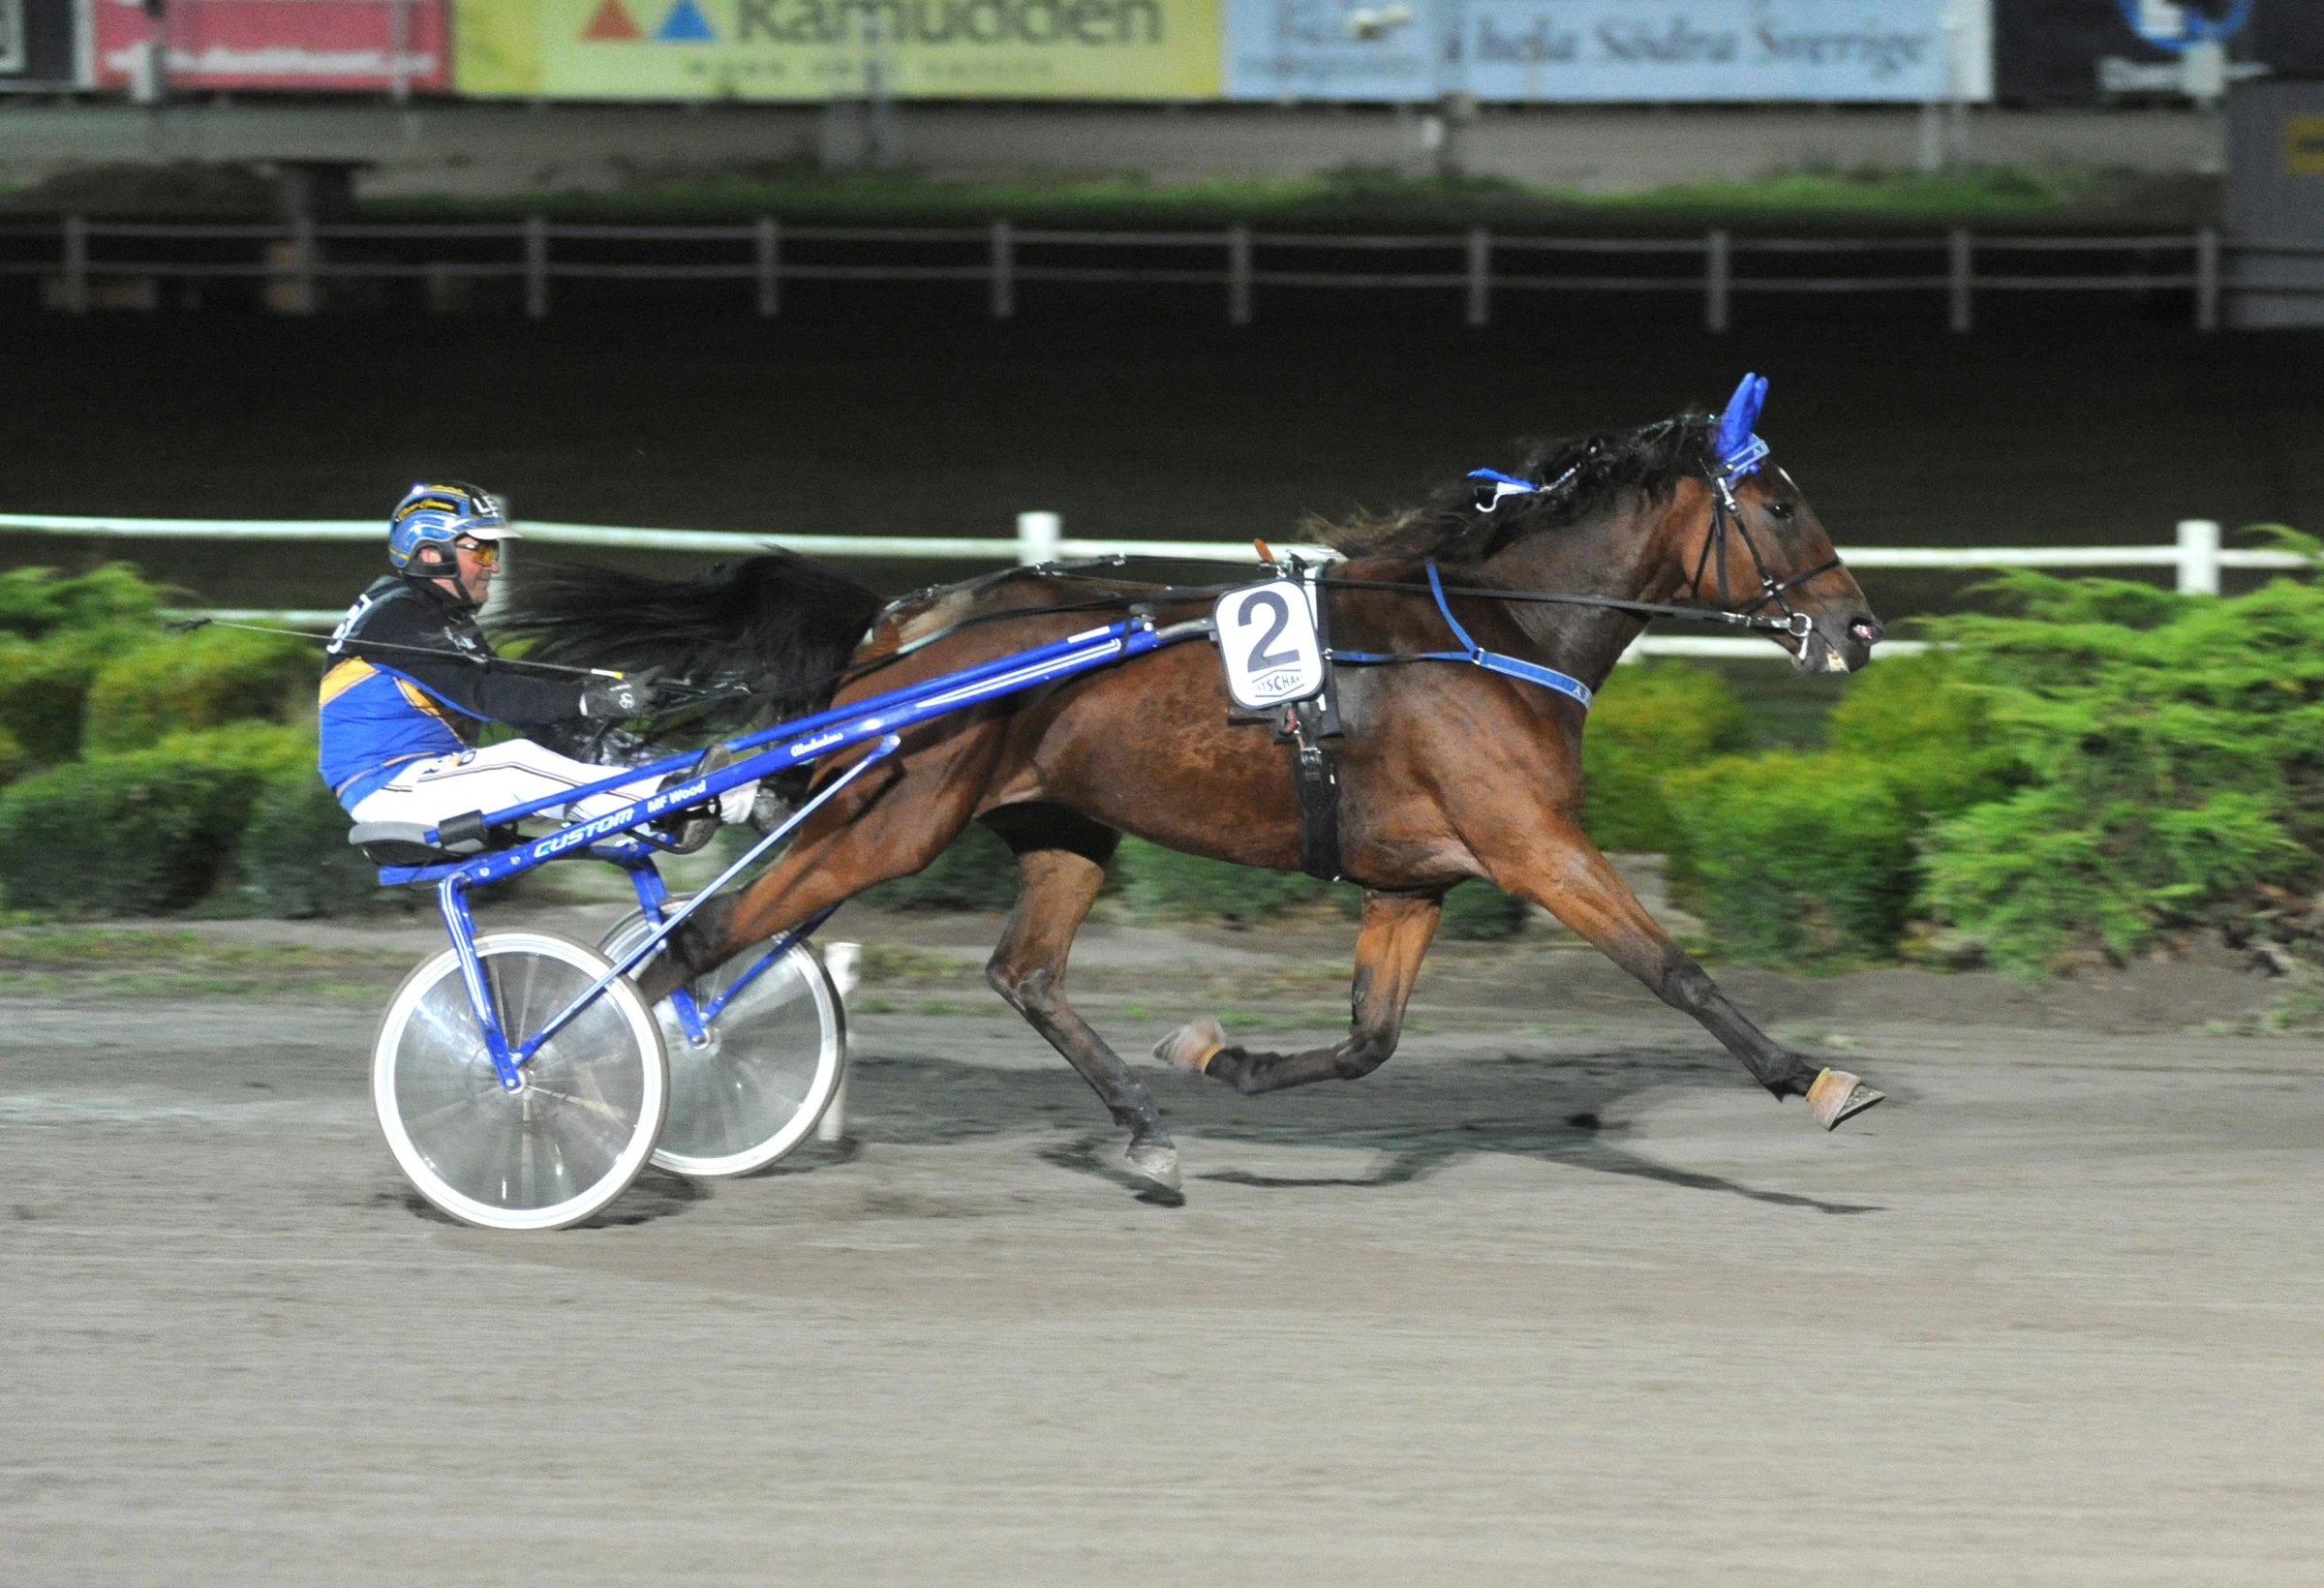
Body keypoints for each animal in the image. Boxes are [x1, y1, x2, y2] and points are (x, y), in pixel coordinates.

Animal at [504, 376, 1886, 1190]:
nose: (1861, 627)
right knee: (702, 943)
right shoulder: (1534, 845)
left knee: (1022, 972)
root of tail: (908, 624)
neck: (1489, 629)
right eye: (1777, 501)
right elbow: (1676, 968)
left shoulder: (1417, 879)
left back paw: (1146, 1128)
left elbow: (1369, 1040)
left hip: (1054, 824)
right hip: (886, 819)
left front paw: (1220, 1054)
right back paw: (566, 1093)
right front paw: (1815, 1080)